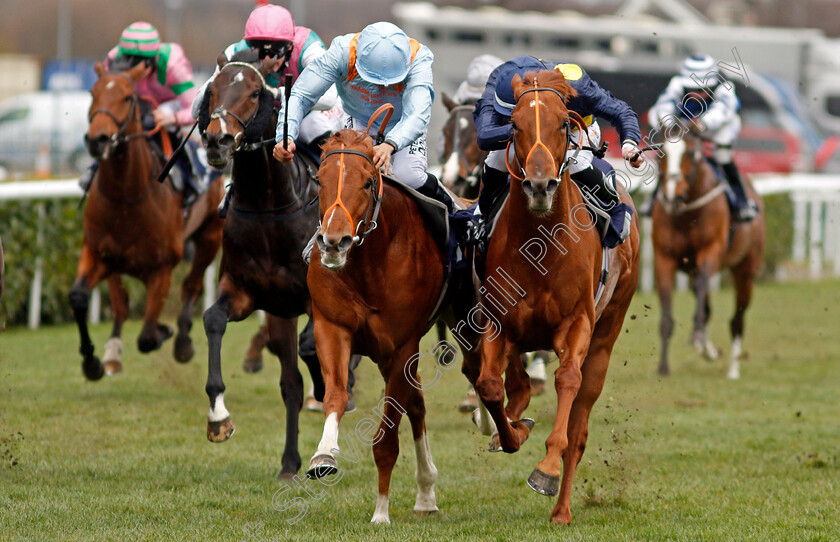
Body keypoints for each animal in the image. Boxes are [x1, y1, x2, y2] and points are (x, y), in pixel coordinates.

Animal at [69, 60, 223, 382]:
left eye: (128, 97)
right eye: (92, 93)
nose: (97, 139)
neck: (127, 197)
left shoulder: (162, 268)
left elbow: (148, 337)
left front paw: (166, 330)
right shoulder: (96, 251)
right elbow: (78, 297)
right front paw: (91, 362)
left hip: (210, 236)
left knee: (191, 285)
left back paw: (182, 340)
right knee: (120, 303)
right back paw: (112, 354)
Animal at [198, 56, 332, 480]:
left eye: (255, 92)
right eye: (212, 90)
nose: (217, 140)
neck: (268, 206)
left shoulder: (316, 298)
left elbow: (313, 345)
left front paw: (327, 390)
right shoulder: (248, 293)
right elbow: (213, 319)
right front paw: (218, 418)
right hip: (278, 314)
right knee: (289, 383)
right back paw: (290, 463)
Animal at [472, 72, 644, 528]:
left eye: (564, 125)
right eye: (514, 126)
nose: (539, 185)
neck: (542, 245)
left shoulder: (578, 324)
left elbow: (568, 382)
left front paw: (545, 470)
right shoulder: (498, 322)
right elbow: (490, 386)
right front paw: (513, 432)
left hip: (606, 334)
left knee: (579, 428)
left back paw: (562, 509)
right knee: (512, 383)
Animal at [652, 134, 764, 380]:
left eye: (690, 154)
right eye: (659, 154)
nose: (672, 195)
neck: (685, 214)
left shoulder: (711, 251)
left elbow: (703, 292)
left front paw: (697, 336)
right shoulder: (663, 259)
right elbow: (668, 316)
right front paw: (663, 367)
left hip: (746, 269)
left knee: (737, 319)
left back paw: (733, 369)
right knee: (706, 307)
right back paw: (708, 349)